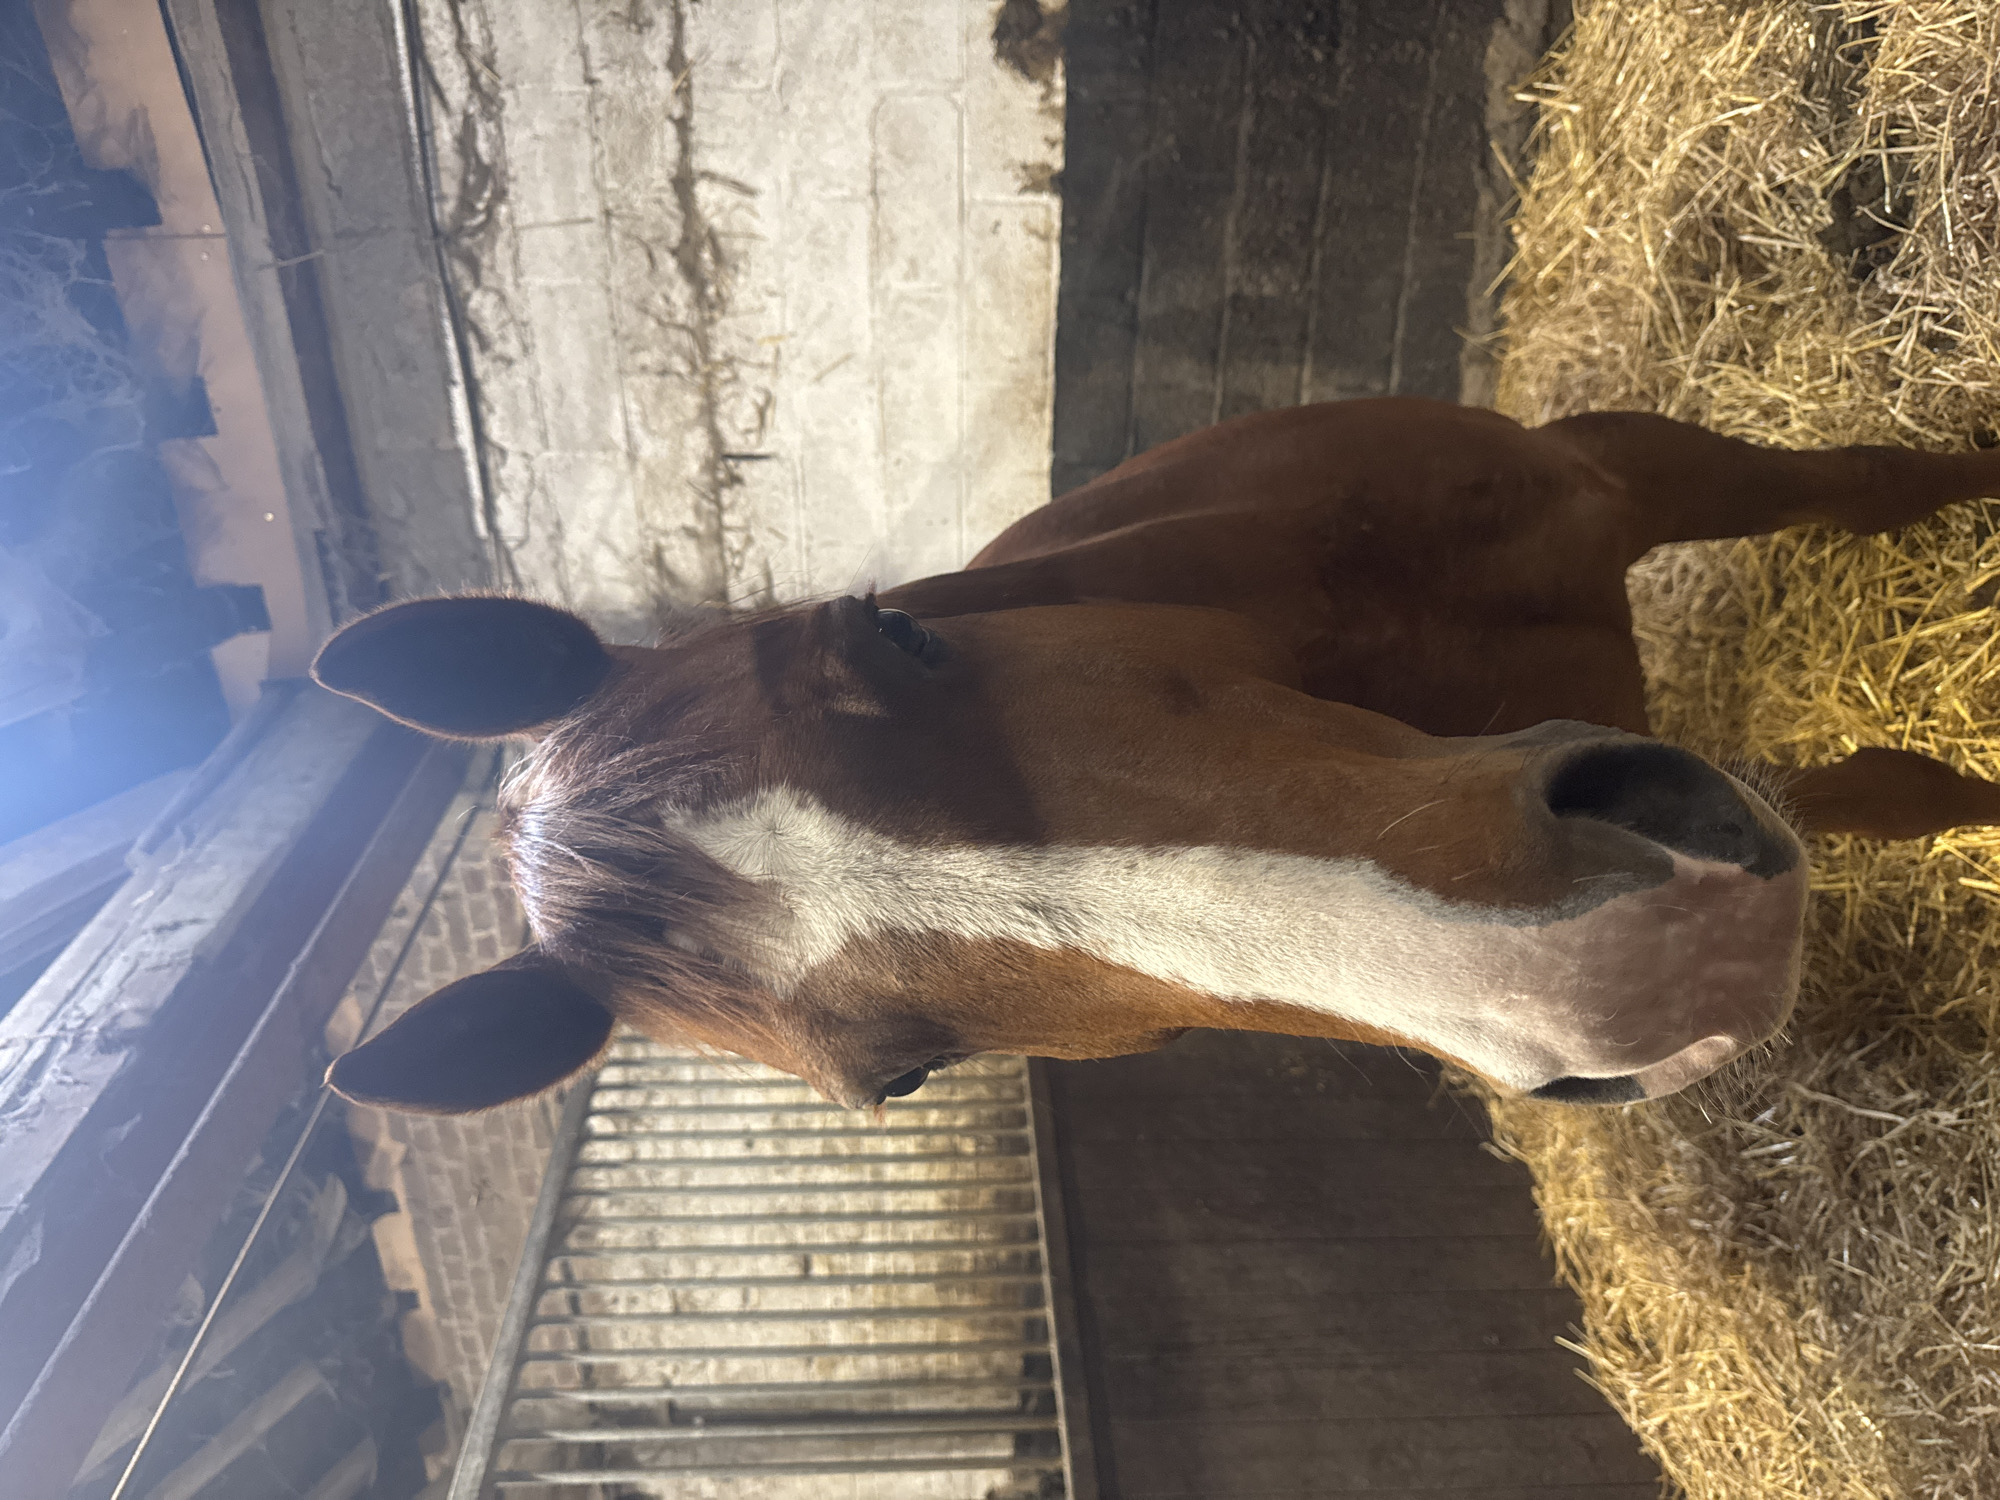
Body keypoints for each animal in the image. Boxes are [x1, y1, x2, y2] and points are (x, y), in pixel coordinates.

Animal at [311, 397, 2000, 1115]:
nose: (1631, 966)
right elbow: (1862, 793)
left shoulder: (1612, 472)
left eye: (887, 633)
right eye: (908, 1076)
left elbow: (1870, 488)